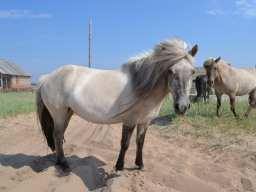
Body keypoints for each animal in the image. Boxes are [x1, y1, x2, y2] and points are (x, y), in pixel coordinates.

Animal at [36, 37, 198, 171]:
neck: (142, 87)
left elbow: (140, 143)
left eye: (192, 72)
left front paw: (140, 165)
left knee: (58, 136)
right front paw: (119, 166)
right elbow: (125, 144)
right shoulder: (129, 121)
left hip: (67, 113)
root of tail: (47, 77)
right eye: (170, 71)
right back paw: (64, 165)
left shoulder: (145, 122)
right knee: (57, 136)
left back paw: (59, 162)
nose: (182, 107)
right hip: (58, 114)